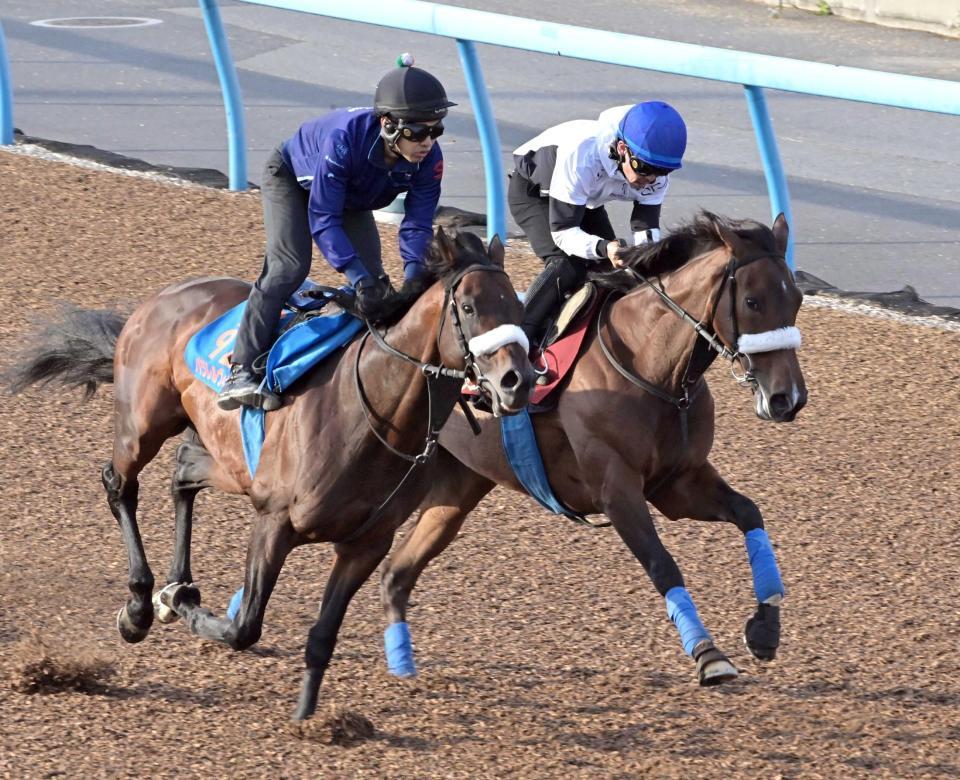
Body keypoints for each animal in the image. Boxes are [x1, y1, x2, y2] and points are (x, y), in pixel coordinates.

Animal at [6, 228, 533, 720]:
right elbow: (244, 627)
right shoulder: (275, 522)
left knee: (183, 474)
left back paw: (175, 573)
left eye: (517, 306)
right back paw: (139, 606)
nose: (519, 380)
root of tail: (163, 297)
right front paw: (180, 604)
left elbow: (323, 636)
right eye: (468, 307)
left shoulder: (366, 544)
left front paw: (306, 717)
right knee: (120, 484)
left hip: (221, 450)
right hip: (143, 425)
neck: (374, 416)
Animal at [379, 211, 807, 686]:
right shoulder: (616, 489)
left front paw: (765, 627)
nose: (788, 398)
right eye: (752, 301)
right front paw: (708, 653)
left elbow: (749, 512)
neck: (651, 366)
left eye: (797, 299)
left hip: (458, 487)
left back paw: (400, 659)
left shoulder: (678, 483)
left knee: (396, 572)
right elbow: (662, 564)